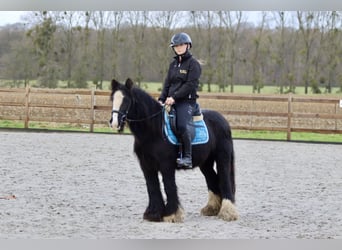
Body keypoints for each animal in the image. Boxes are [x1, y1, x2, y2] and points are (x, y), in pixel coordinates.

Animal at [109, 78, 238, 223]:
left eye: (126, 100)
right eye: (112, 99)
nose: (114, 123)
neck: (154, 130)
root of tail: (223, 121)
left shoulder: (166, 165)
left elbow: (169, 185)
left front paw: (171, 214)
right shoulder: (147, 166)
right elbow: (152, 186)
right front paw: (153, 214)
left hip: (222, 158)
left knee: (224, 181)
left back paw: (228, 212)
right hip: (206, 163)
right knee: (213, 180)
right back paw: (212, 208)